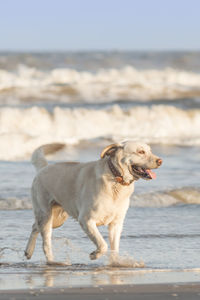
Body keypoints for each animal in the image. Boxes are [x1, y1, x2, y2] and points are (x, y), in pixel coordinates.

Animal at [25, 141, 162, 262]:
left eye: (150, 150)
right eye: (141, 151)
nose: (160, 161)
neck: (115, 179)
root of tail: (44, 167)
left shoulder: (116, 224)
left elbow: (114, 248)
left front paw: (114, 264)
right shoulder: (86, 220)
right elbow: (103, 244)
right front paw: (94, 255)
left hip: (58, 218)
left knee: (35, 226)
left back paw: (28, 251)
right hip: (46, 215)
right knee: (45, 243)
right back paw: (50, 260)